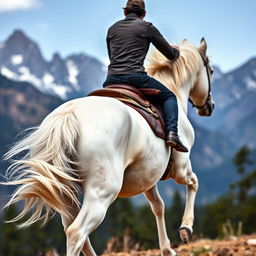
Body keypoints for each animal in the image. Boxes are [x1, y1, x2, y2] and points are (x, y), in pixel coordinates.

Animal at [3, 38, 214, 256]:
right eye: (211, 71)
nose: (209, 107)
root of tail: (69, 115)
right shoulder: (180, 168)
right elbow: (194, 182)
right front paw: (186, 228)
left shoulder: (147, 178)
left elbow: (158, 206)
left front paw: (166, 249)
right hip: (102, 193)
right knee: (77, 232)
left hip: (65, 193)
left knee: (72, 229)